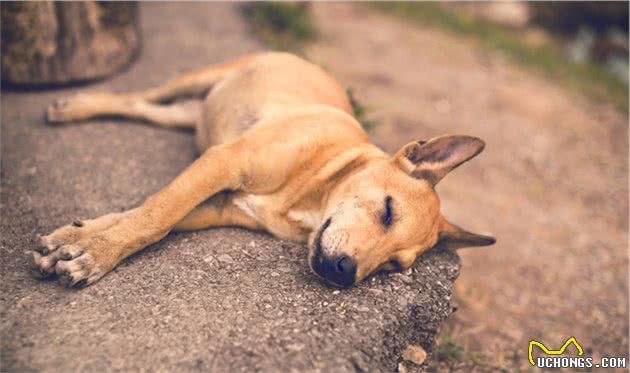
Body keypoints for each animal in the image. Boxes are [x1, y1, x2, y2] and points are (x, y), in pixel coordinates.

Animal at [33, 51, 498, 288]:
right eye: (387, 211)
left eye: (393, 267)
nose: (345, 275)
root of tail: (310, 61)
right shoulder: (223, 161)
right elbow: (155, 215)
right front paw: (96, 255)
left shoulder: (217, 203)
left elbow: (149, 214)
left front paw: (74, 240)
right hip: (197, 79)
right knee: (141, 95)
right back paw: (74, 106)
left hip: (187, 116)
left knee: (144, 108)